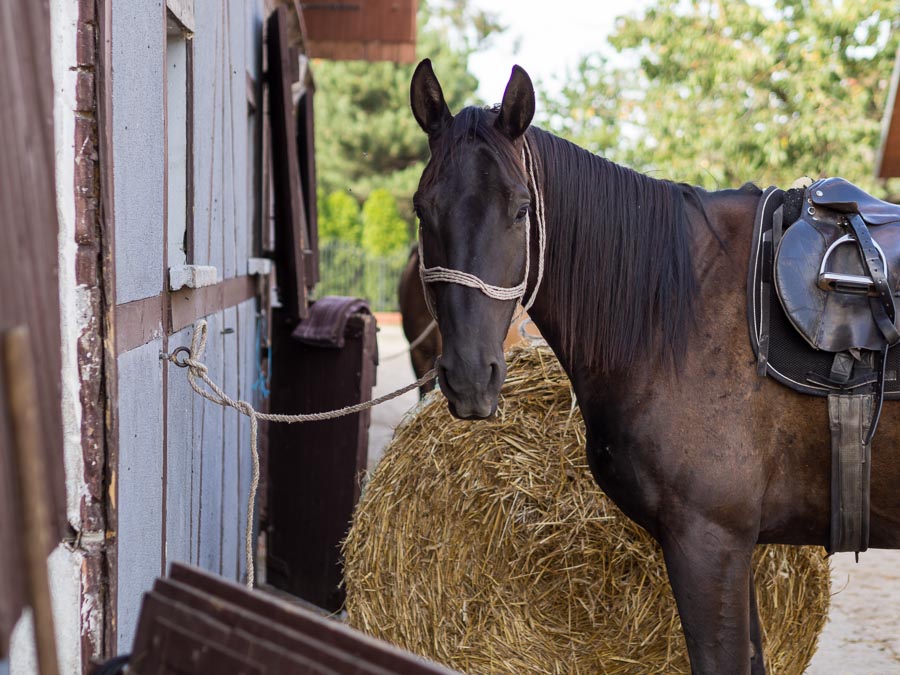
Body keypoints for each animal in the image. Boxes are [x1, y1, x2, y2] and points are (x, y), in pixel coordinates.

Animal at [410, 59, 900, 675]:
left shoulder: (709, 542)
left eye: (521, 209)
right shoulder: (733, 548)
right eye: (421, 209)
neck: (682, 311)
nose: (471, 377)